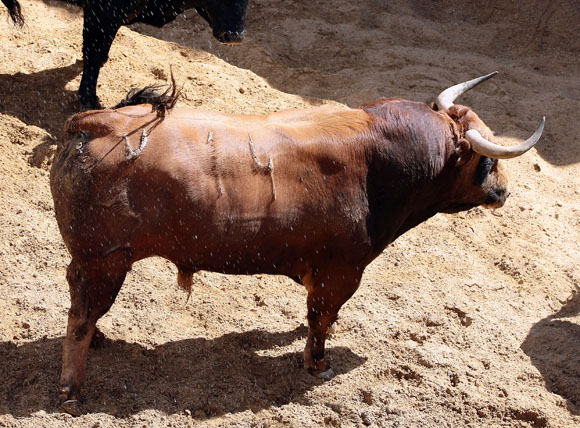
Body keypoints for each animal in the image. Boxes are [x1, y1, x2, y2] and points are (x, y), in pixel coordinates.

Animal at [49, 73, 544, 414]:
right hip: (105, 261)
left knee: (82, 305)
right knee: (81, 316)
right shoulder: (342, 271)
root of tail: (93, 121)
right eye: (485, 161)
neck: (380, 162)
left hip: (93, 262)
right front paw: (317, 364)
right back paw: (72, 391)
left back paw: (100, 341)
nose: (505, 191)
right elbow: (322, 318)